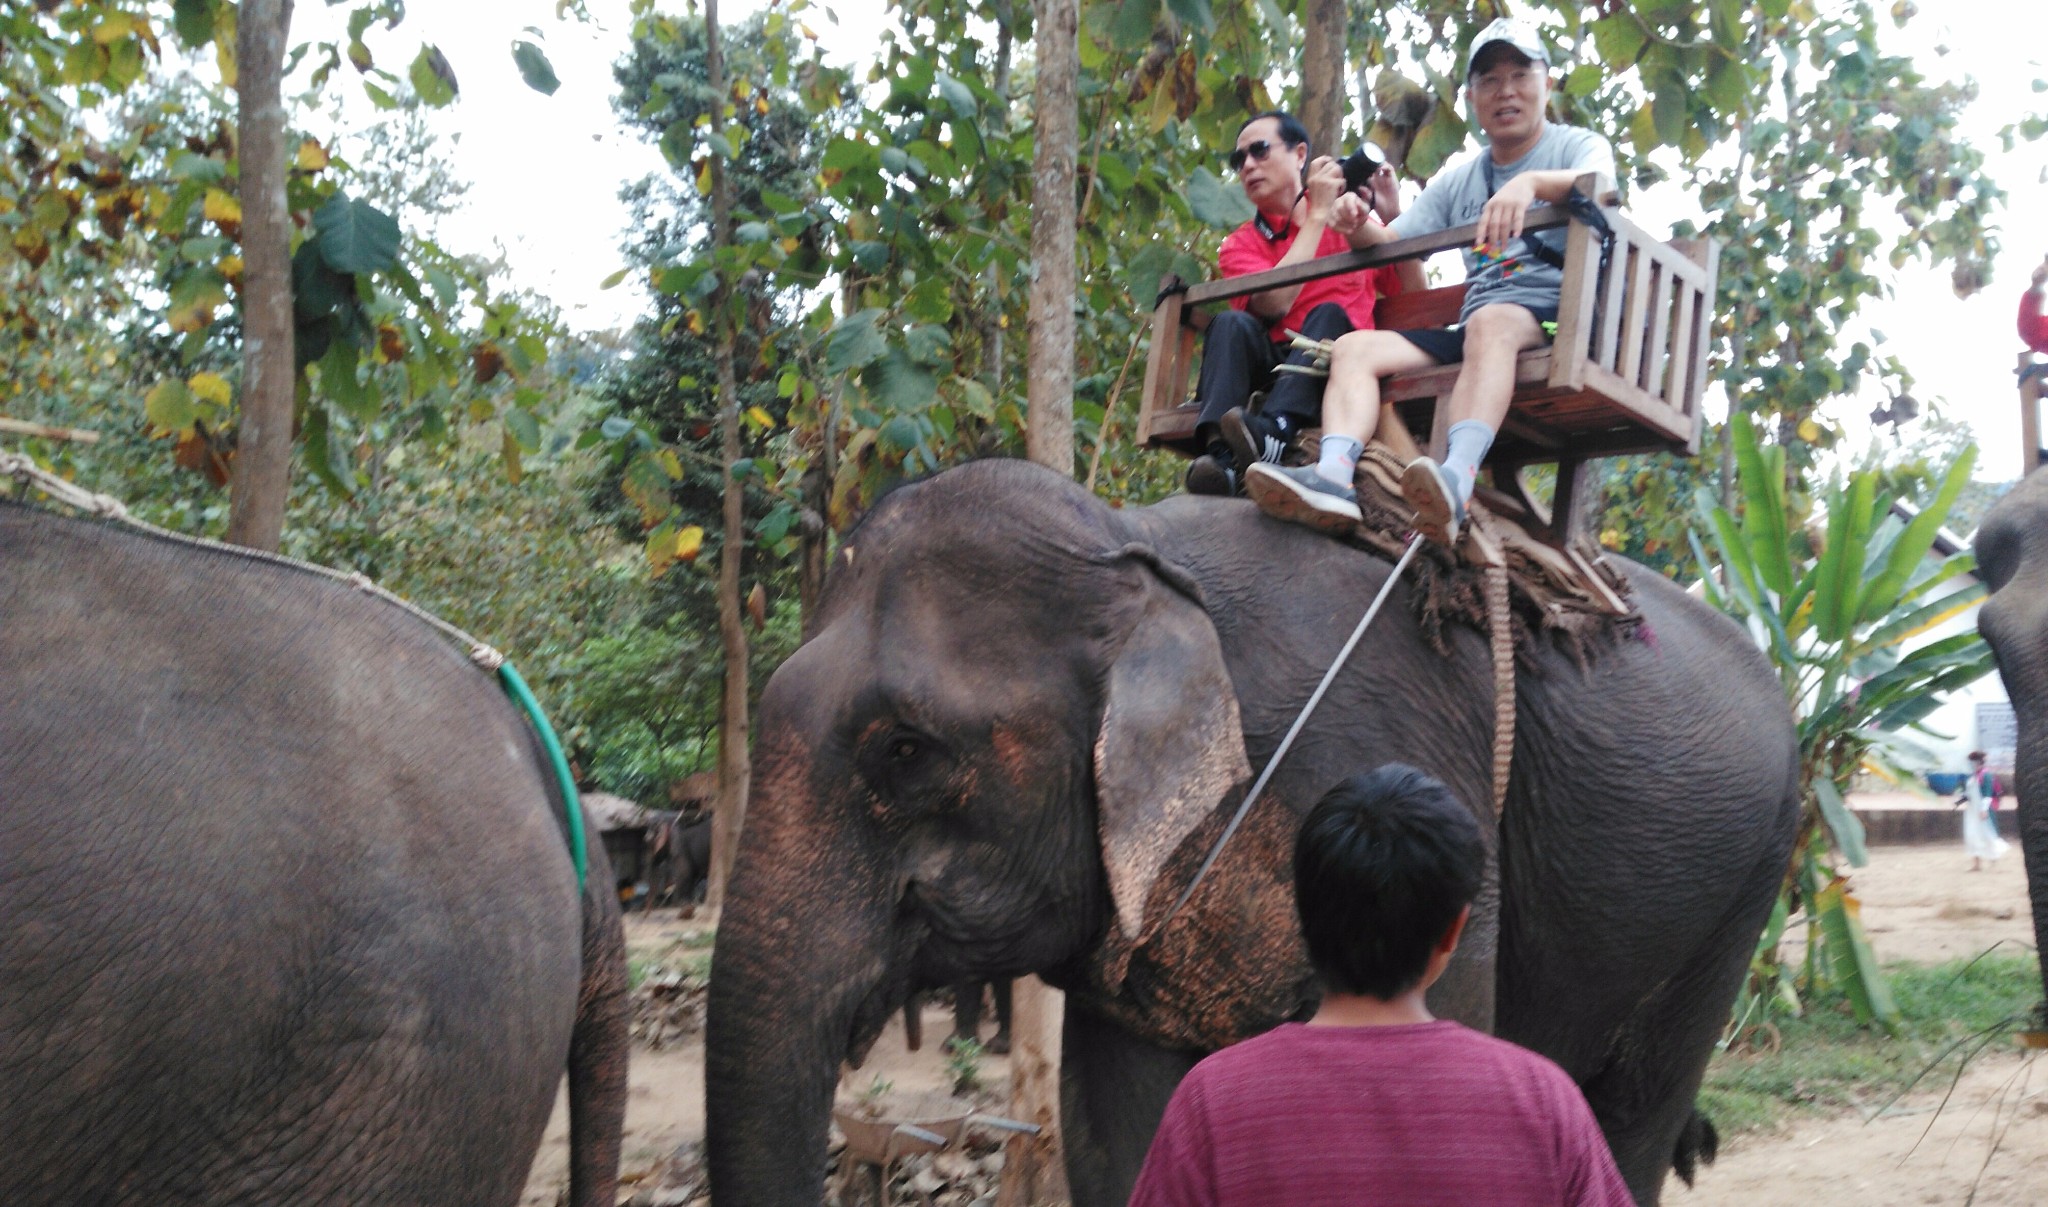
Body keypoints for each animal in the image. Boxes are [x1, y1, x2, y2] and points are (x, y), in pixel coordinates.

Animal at [712, 456, 1802, 1196]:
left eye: (904, 750)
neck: (1137, 553)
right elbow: (1114, 1128)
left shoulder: (1395, 778)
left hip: (1743, 883)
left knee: (1639, 1107)